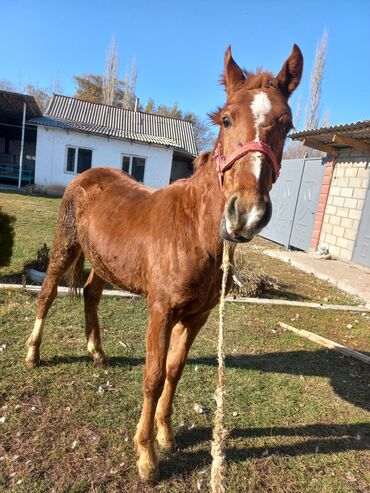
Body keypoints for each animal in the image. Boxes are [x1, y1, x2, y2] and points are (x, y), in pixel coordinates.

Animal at [26, 45, 304, 480]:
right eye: (227, 118)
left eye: (287, 125)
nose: (246, 214)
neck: (194, 230)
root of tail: (86, 174)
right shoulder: (161, 311)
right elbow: (153, 376)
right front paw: (146, 455)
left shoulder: (197, 316)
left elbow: (175, 370)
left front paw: (166, 434)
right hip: (65, 246)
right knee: (49, 293)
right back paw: (33, 353)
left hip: (104, 264)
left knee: (90, 294)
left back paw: (97, 352)